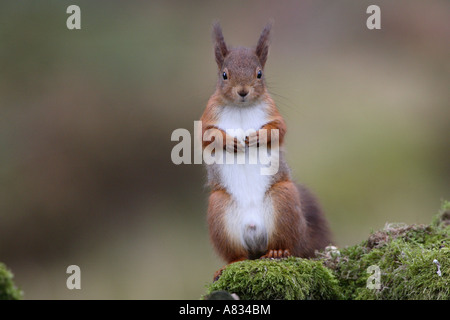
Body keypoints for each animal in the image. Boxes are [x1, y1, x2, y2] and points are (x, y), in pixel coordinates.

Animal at [200, 21, 330, 280]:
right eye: (224, 74)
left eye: (259, 73)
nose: (243, 91)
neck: (241, 108)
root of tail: (254, 231)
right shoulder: (207, 117)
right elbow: (207, 136)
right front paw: (230, 141)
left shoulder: (274, 114)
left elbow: (278, 130)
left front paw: (256, 136)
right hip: (219, 213)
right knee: (237, 254)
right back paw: (233, 262)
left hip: (283, 200)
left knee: (285, 244)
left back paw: (278, 252)